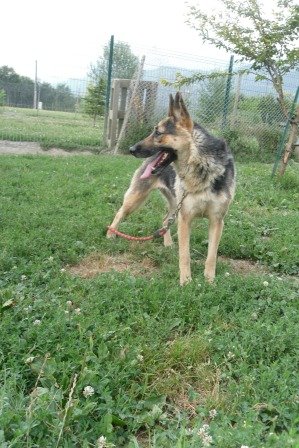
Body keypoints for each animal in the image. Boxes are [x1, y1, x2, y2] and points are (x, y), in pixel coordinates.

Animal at [108, 93, 237, 286]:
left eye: (158, 133)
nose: (131, 149)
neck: (200, 165)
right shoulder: (185, 219)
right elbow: (185, 255)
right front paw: (186, 282)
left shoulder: (216, 221)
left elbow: (211, 255)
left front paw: (209, 280)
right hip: (136, 199)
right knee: (119, 213)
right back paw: (111, 234)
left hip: (174, 205)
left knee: (164, 220)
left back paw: (167, 243)